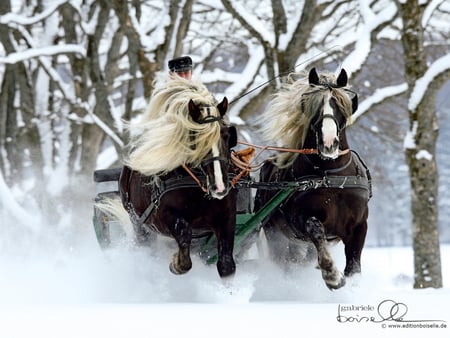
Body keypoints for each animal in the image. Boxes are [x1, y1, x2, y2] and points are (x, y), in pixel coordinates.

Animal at [98, 78, 237, 278]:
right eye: (195, 137)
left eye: (226, 135)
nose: (219, 187)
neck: (198, 187)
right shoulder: (165, 216)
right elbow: (185, 236)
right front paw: (177, 263)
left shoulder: (226, 217)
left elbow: (226, 266)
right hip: (140, 225)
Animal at [255, 67, 370, 290]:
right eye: (314, 107)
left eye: (339, 106)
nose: (329, 143)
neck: (333, 177)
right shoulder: (300, 219)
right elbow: (316, 229)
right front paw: (331, 273)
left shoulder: (359, 225)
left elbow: (354, 267)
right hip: (277, 236)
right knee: (286, 263)